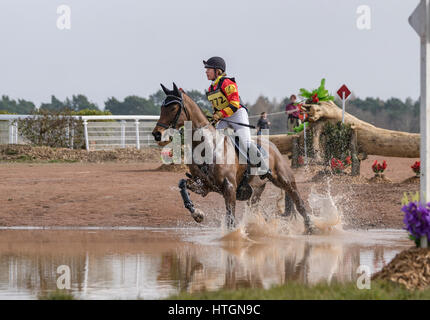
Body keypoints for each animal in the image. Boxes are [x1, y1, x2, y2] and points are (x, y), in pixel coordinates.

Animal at [152, 82, 316, 234]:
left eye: (173, 108)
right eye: (161, 108)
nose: (157, 134)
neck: (208, 147)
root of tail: (274, 147)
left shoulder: (229, 187)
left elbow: (230, 219)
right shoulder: (204, 186)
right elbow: (182, 185)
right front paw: (197, 214)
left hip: (285, 180)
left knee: (299, 203)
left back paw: (311, 228)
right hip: (256, 191)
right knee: (255, 209)